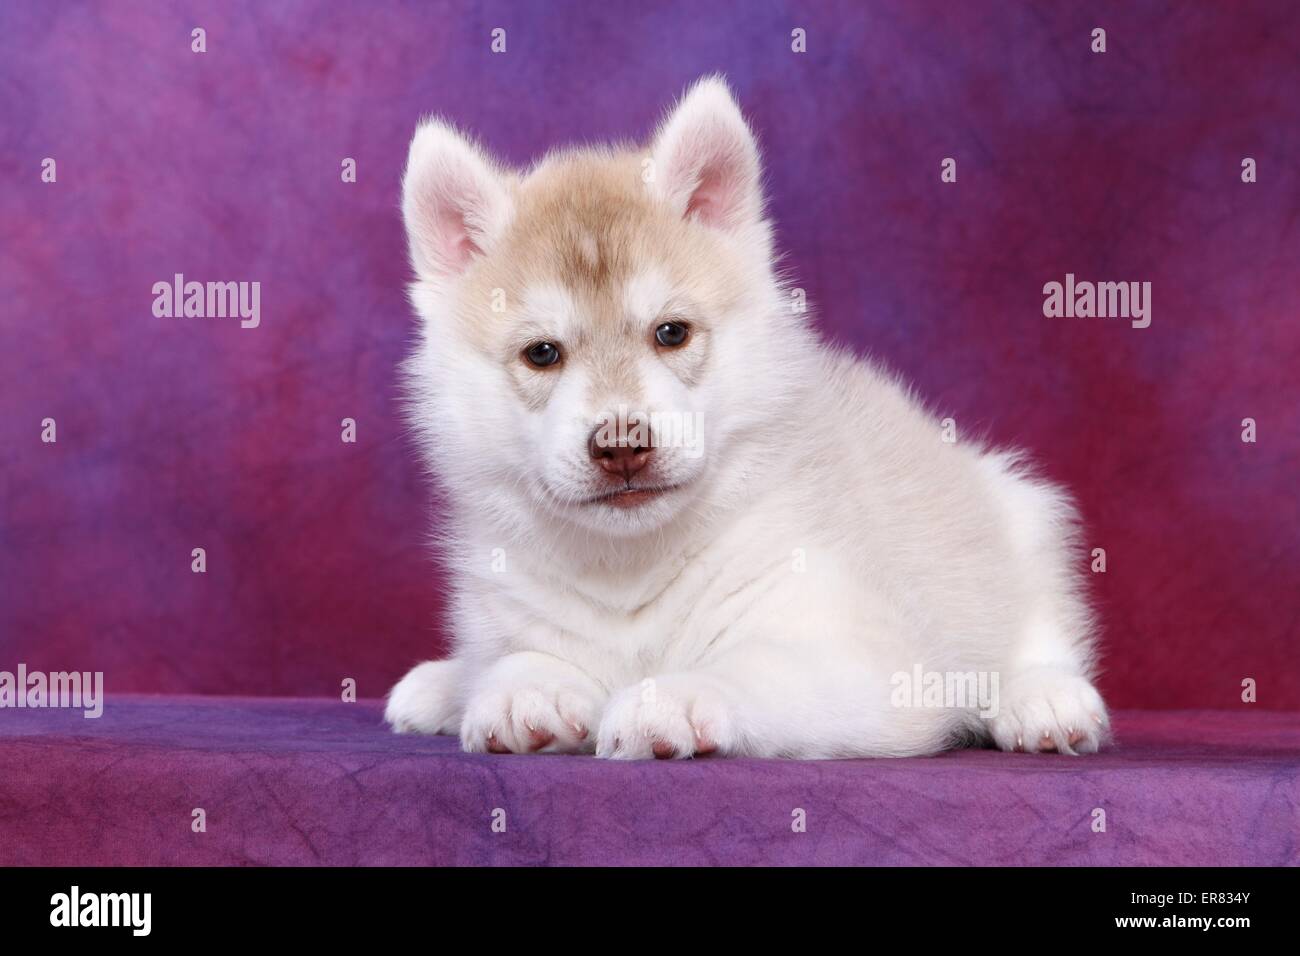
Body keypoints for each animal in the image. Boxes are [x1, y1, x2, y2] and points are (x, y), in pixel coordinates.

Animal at [384, 74, 1107, 759]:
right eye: (542, 353)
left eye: (671, 333)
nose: (622, 444)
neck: (630, 568)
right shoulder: (505, 611)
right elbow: (512, 658)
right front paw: (520, 689)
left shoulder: (866, 662)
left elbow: (748, 671)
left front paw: (671, 697)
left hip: (1017, 516)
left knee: (1039, 625)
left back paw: (1045, 699)